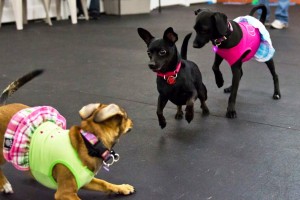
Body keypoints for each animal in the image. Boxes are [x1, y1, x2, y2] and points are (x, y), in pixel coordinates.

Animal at [0, 70, 135, 198]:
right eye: (126, 117)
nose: (132, 122)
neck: (89, 142)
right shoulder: (65, 193)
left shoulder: (85, 181)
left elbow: (104, 183)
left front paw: (121, 187)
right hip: (3, 153)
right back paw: (4, 184)